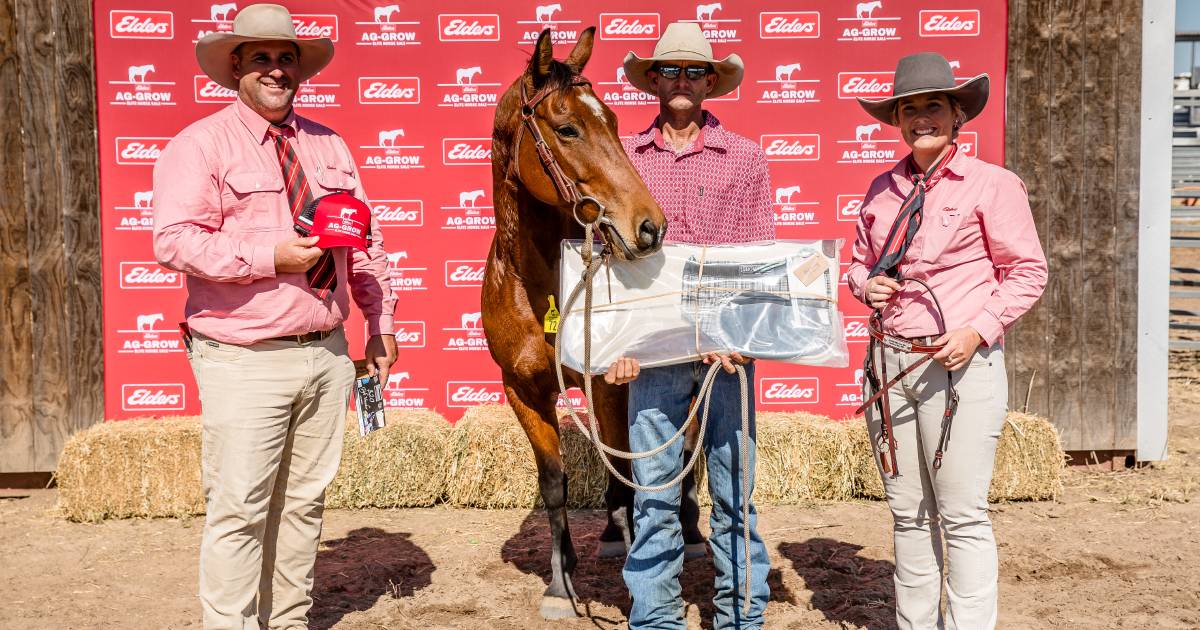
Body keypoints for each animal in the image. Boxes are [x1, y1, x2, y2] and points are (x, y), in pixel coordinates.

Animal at [482, 27, 705, 614]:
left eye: (614, 121)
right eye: (567, 128)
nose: (649, 225)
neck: (541, 288)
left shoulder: (608, 384)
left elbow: (629, 469)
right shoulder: (522, 391)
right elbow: (555, 482)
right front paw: (562, 582)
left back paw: (687, 531)